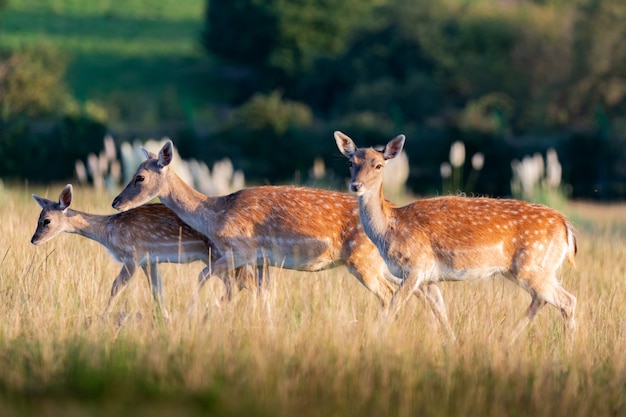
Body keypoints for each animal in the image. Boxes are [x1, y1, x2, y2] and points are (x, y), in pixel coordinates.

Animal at [31, 184, 256, 316]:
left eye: (46, 220)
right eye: (38, 218)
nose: (34, 240)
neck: (109, 233)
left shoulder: (133, 255)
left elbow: (116, 287)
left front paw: (101, 319)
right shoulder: (150, 260)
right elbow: (157, 291)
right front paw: (165, 321)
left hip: (218, 255)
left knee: (243, 283)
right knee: (239, 284)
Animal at [109, 141, 454, 334]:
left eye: (140, 177)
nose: (115, 202)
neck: (216, 213)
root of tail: (393, 212)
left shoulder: (241, 250)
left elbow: (203, 275)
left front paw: (196, 316)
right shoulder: (263, 260)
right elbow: (264, 297)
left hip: (363, 261)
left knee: (390, 294)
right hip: (379, 263)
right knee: (421, 290)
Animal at [334, 131, 576, 342]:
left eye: (378, 165)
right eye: (351, 163)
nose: (356, 185)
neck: (390, 227)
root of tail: (566, 226)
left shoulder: (416, 265)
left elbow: (394, 305)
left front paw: (373, 340)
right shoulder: (429, 277)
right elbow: (441, 314)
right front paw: (452, 344)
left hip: (532, 264)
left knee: (567, 300)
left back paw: (565, 349)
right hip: (527, 269)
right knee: (542, 299)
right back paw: (505, 340)